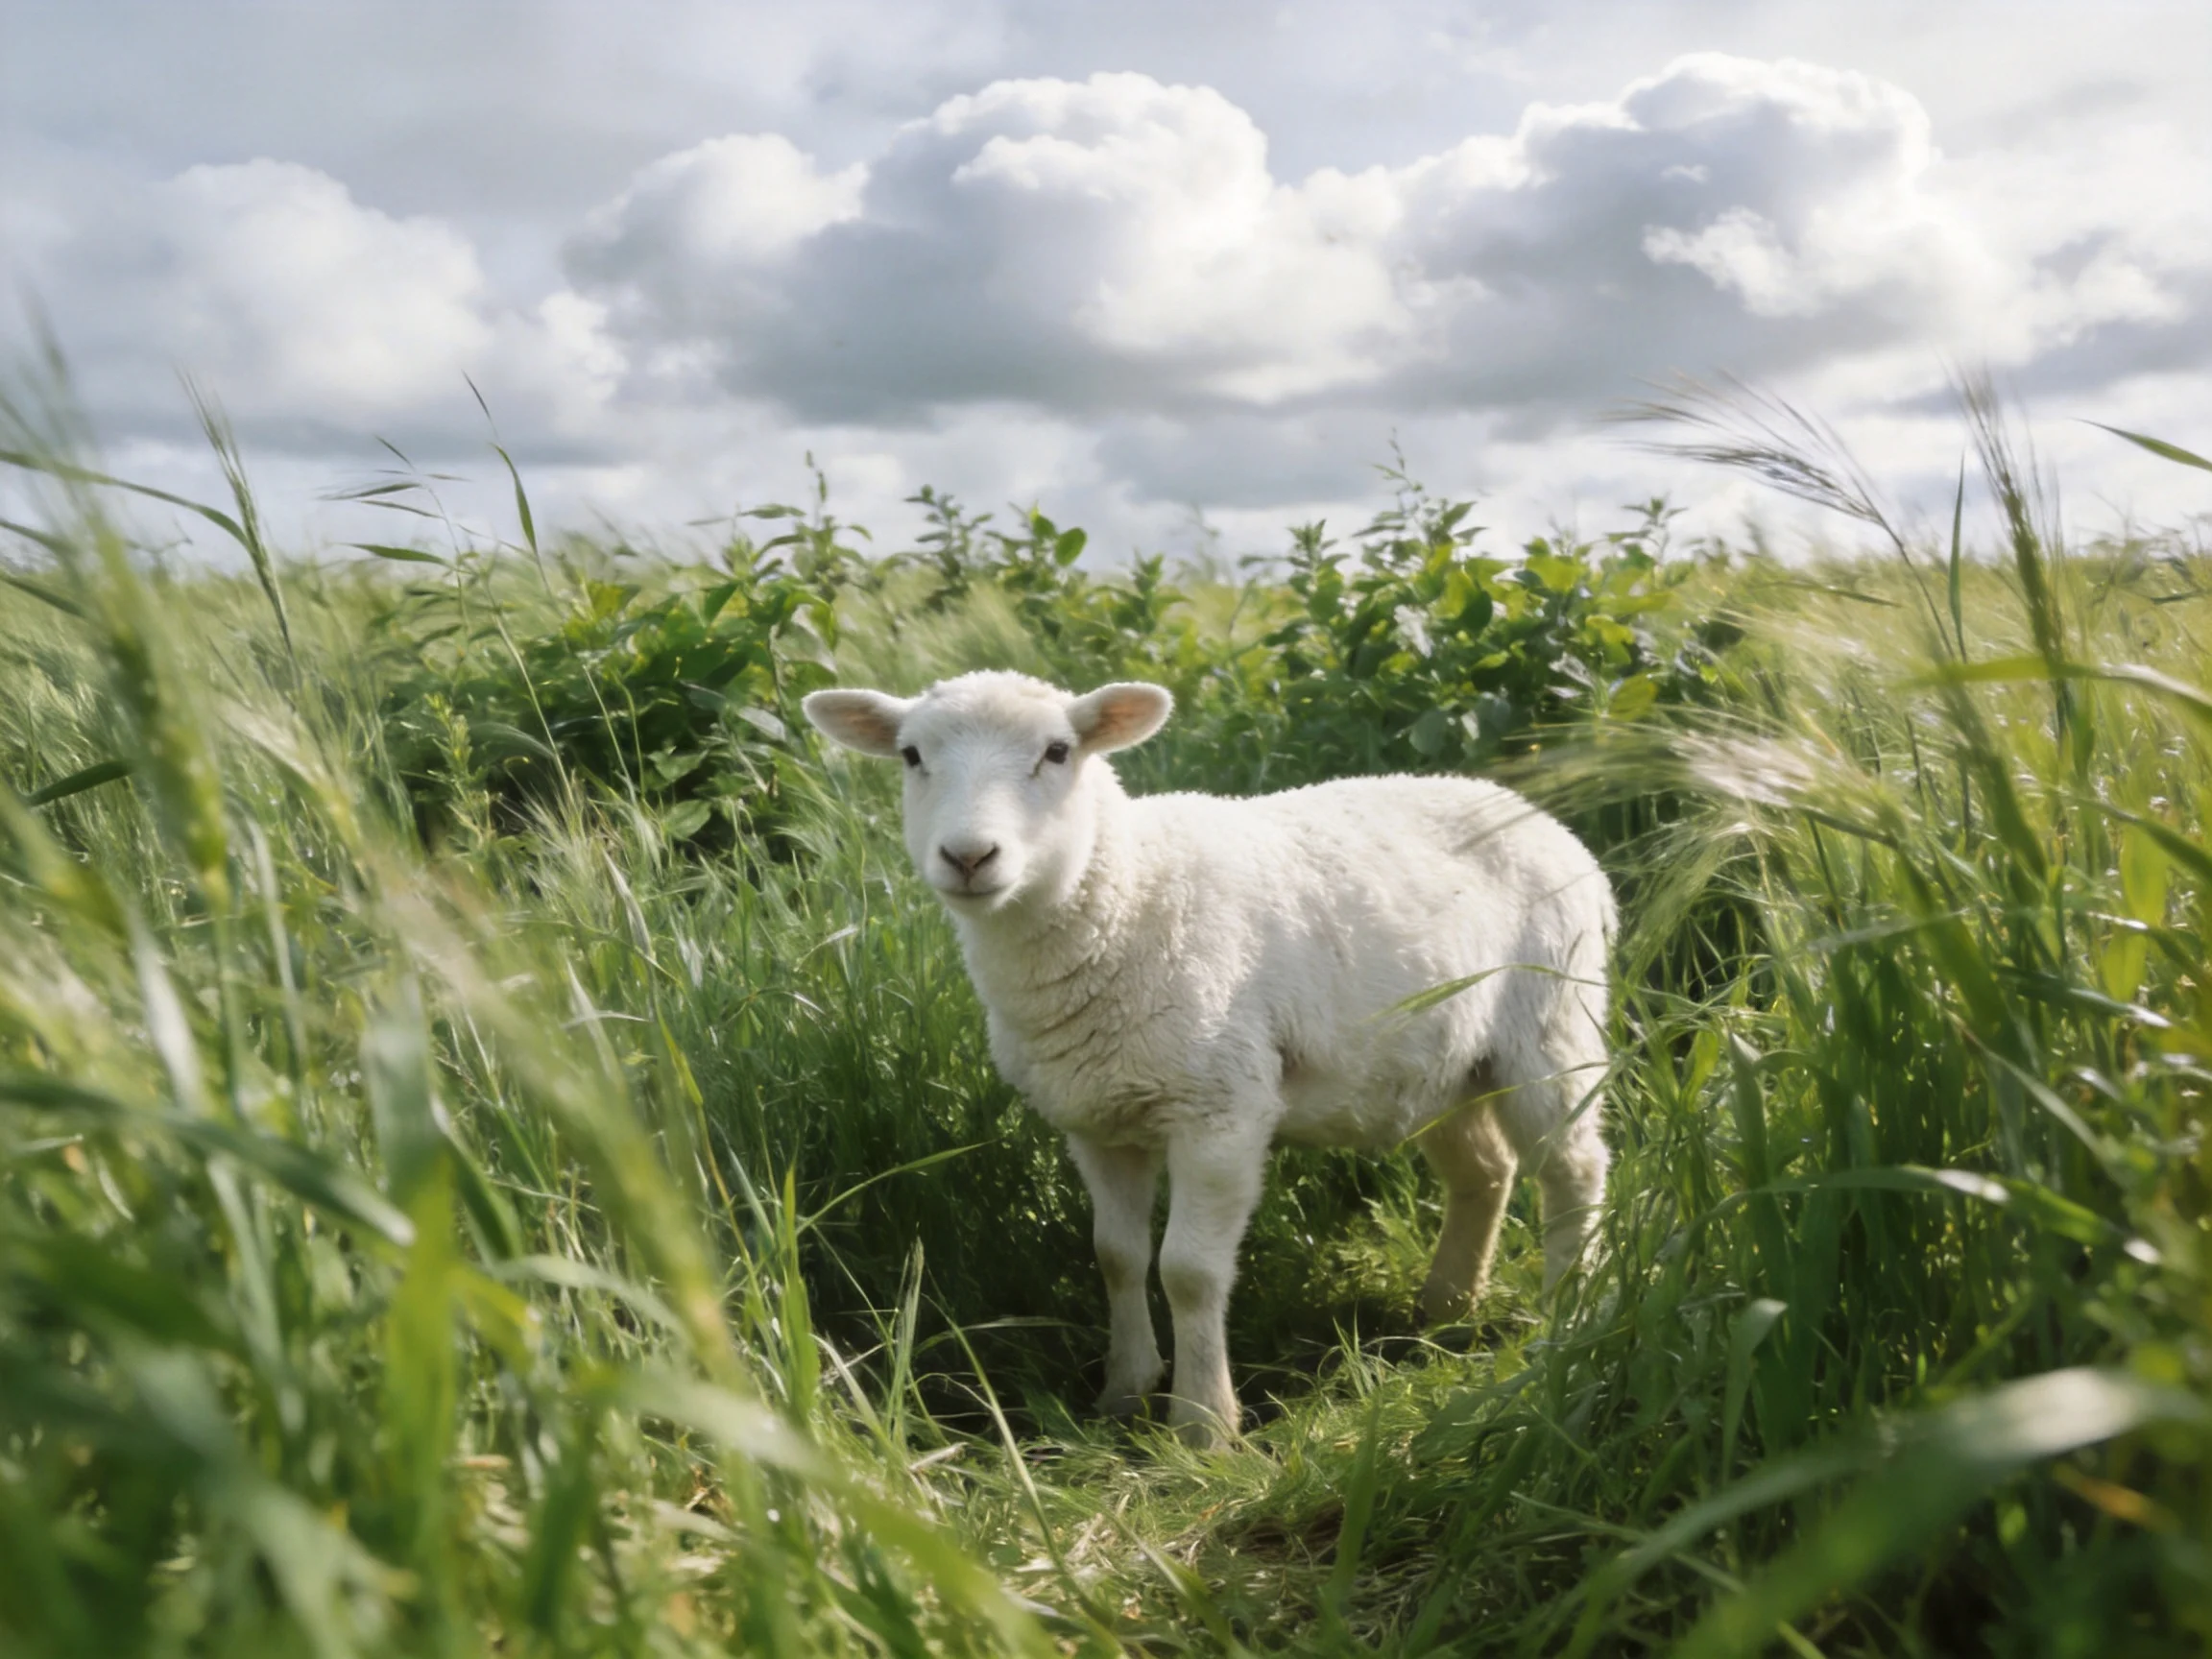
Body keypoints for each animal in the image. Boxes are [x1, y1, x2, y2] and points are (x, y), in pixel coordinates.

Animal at [802, 670, 1614, 1446]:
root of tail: (1528, 808)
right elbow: (1117, 1256)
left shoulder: (1220, 1108)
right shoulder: (1096, 1119)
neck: (1127, 894)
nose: (969, 856)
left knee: (1573, 1168)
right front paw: (1124, 1392)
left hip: (1551, 1022)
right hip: (1443, 1063)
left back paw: (1566, 1315)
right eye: (912, 756)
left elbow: (1188, 1272)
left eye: (1057, 751)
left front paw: (1201, 1424)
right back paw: (1446, 1306)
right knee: (1486, 1170)